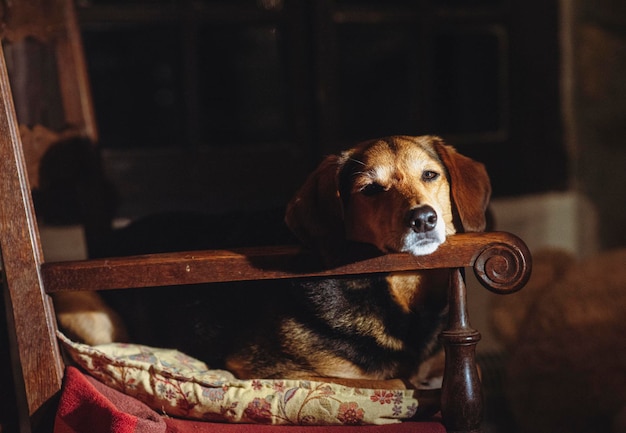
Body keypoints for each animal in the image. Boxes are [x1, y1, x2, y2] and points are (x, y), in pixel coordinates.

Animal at [53, 134, 490, 398]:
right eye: (370, 190)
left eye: (430, 175)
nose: (423, 219)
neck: (393, 291)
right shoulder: (268, 369)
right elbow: (397, 381)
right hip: (97, 319)